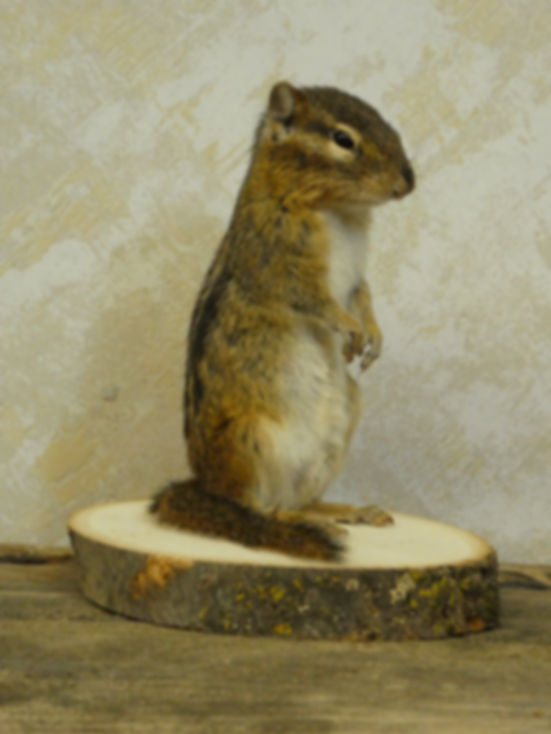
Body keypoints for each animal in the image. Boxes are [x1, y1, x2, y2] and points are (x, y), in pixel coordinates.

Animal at [151, 81, 414, 561]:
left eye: (387, 123)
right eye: (343, 139)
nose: (408, 181)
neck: (340, 213)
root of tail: (204, 485)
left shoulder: (357, 277)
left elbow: (363, 297)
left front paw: (373, 336)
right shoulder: (280, 262)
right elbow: (316, 301)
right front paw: (350, 330)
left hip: (341, 423)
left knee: (298, 500)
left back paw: (345, 511)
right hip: (249, 442)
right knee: (253, 510)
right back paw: (293, 523)